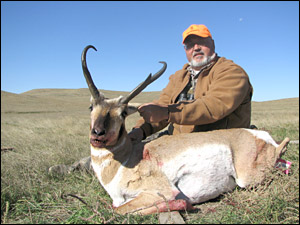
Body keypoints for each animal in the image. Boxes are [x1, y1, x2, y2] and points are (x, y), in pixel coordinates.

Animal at [81, 45, 290, 214]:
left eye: (123, 113)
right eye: (91, 107)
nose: (98, 134)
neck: (127, 158)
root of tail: (261, 135)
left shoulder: (161, 192)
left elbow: (118, 210)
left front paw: (184, 204)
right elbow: (116, 207)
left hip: (246, 178)